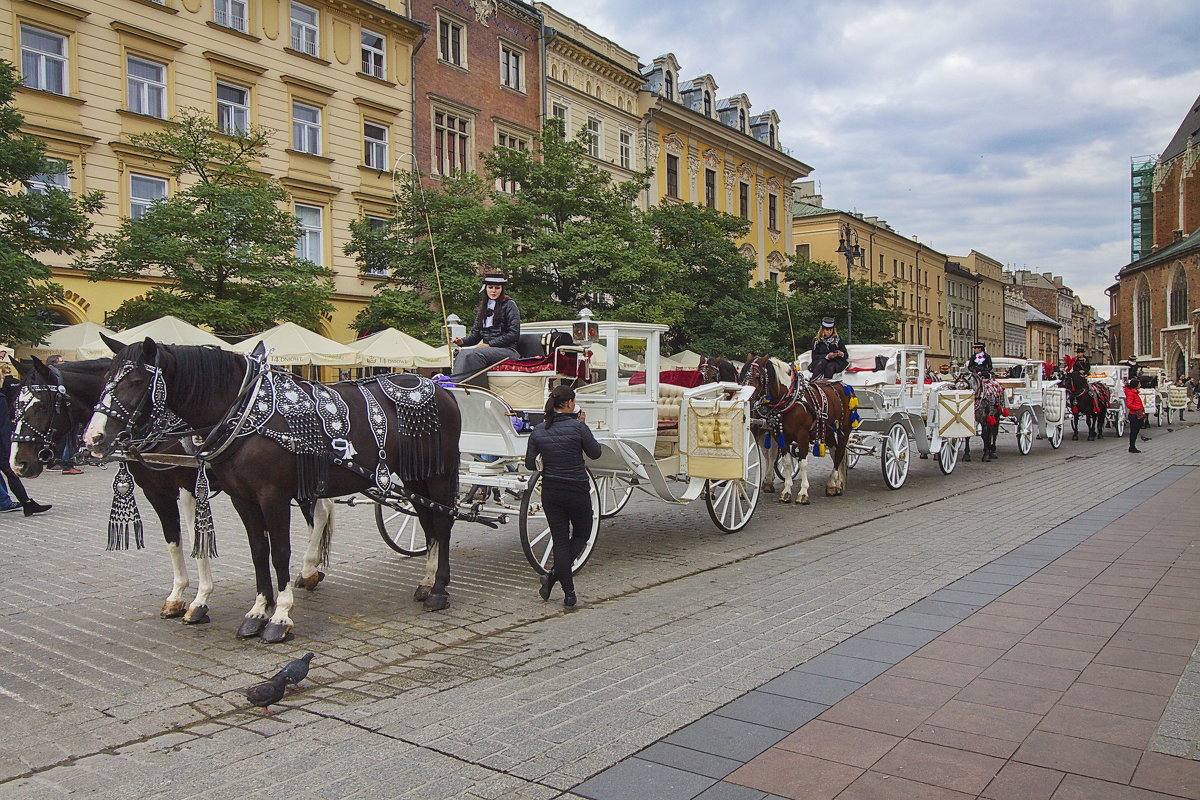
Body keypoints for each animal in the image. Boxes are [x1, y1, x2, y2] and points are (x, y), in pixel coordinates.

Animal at [11, 357, 336, 623]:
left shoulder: (190, 488)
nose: (18, 463)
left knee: (320, 512)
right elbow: (173, 540)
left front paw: (200, 601)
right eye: (15, 405)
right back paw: (310, 570)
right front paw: (177, 596)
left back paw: (309, 568)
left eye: (41, 405)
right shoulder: (155, 491)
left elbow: (195, 540)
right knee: (319, 512)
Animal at [82, 338, 460, 642]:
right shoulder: (238, 497)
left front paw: (278, 616)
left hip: (439, 474)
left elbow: (276, 551)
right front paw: (257, 612)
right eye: (105, 379)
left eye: (135, 381)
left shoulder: (266, 495)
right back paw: (424, 582)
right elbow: (253, 551)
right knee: (426, 523)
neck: (245, 413)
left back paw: (439, 590)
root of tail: (439, 385)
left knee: (442, 524)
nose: (93, 438)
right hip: (414, 476)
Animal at [739, 357, 854, 506]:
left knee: (839, 452)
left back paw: (833, 483)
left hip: (844, 428)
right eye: (742, 375)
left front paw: (803, 493)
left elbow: (802, 463)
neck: (789, 399)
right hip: (827, 431)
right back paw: (834, 484)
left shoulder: (802, 435)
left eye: (758, 375)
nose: (746, 397)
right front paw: (786, 492)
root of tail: (843, 384)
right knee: (834, 452)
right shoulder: (780, 434)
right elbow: (786, 461)